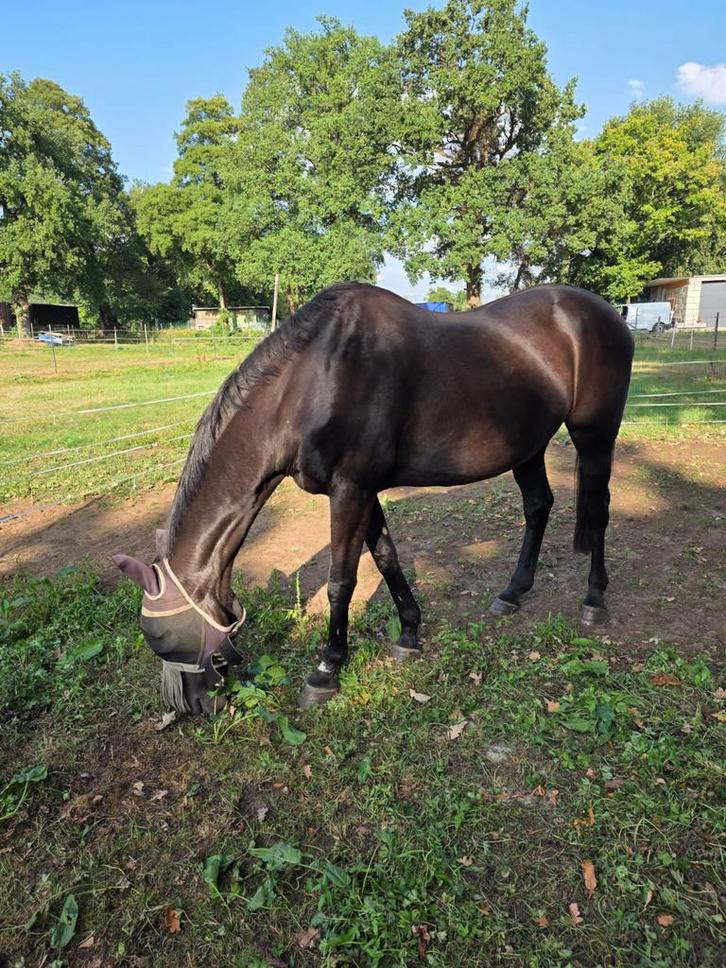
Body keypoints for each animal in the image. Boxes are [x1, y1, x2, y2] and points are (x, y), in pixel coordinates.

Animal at [113, 281, 634, 713]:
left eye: (162, 637)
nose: (190, 707)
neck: (311, 382)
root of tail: (608, 313)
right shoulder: (365, 491)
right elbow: (386, 558)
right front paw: (409, 632)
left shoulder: (350, 490)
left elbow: (341, 582)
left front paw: (326, 671)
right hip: (527, 445)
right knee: (538, 507)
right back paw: (512, 592)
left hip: (594, 435)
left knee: (598, 510)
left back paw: (594, 598)